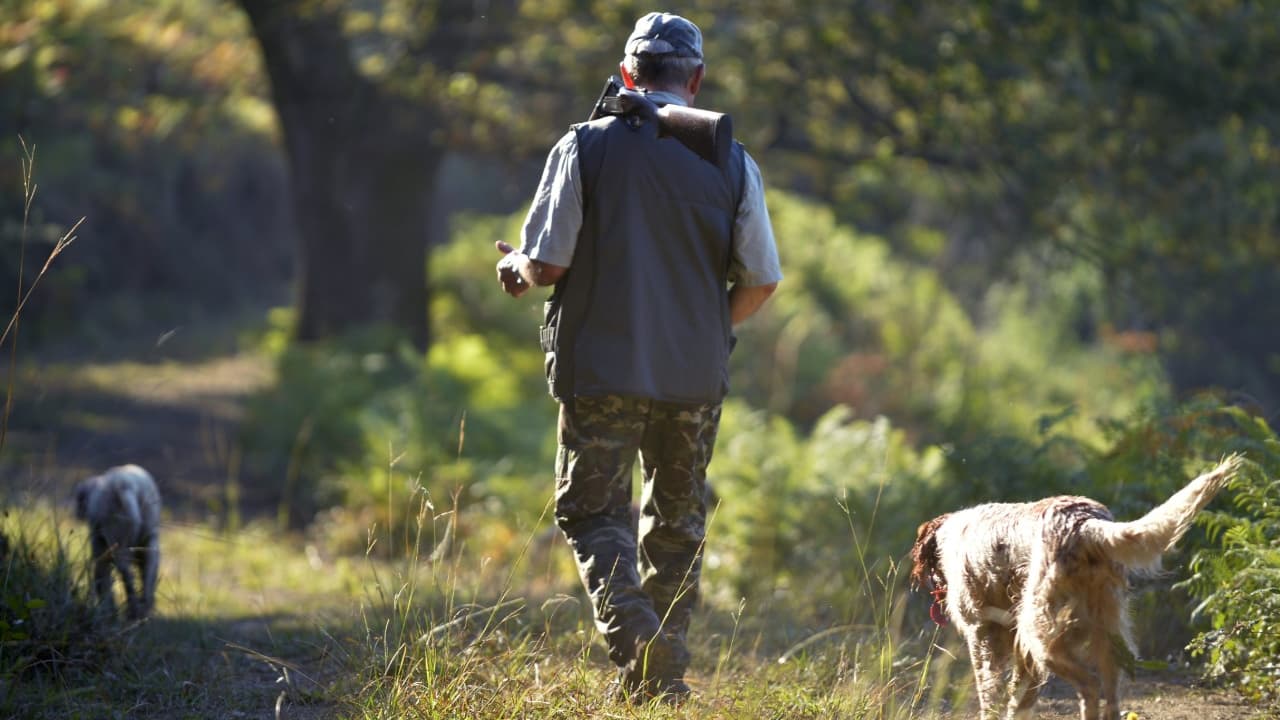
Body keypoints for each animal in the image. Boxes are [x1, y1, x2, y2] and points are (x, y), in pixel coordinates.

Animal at [72, 461, 161, 620]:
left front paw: (106, 610)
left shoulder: (98, 537)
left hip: (118, 532)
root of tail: (126, 487)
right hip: (149, 533)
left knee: (125, 571)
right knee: (150, 566)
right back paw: (143, 610)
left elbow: (101, 573)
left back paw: (130, 611)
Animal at [911, 453, 1239, 717]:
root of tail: (1085, 523)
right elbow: (1019, 699)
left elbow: (990, 693)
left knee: (1090, 686)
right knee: (1110, 698)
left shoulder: (981, 635)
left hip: (1039, 633)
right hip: (1104, 634)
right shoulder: (1018, 647)